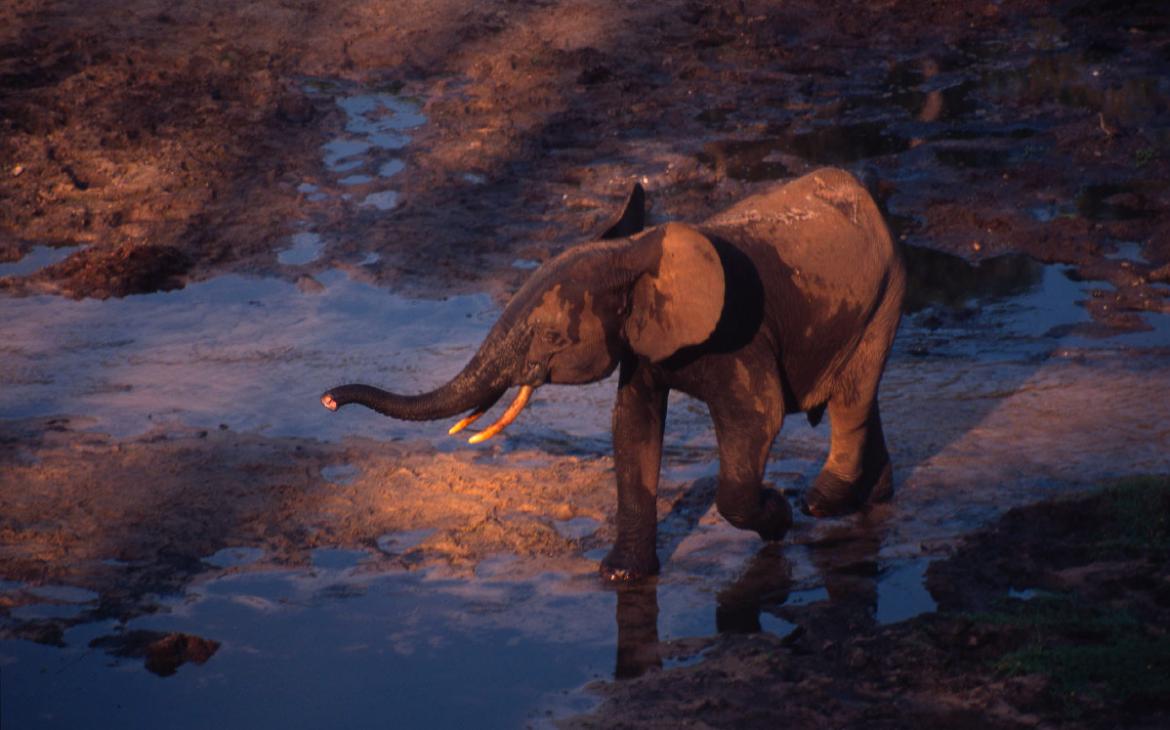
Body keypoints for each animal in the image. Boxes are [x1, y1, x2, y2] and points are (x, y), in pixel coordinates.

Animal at [325, 168, 907, 577]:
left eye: (552, 337)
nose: (329, 400)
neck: (633, 252)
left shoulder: (742, 335)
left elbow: (755, 421)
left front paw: (777, 516)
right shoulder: (643, 344)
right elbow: (632, 426)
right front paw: (620, 577)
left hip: (886, 289)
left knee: (851, 400)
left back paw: (821, 502)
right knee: (861, 397)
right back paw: (874, 498)